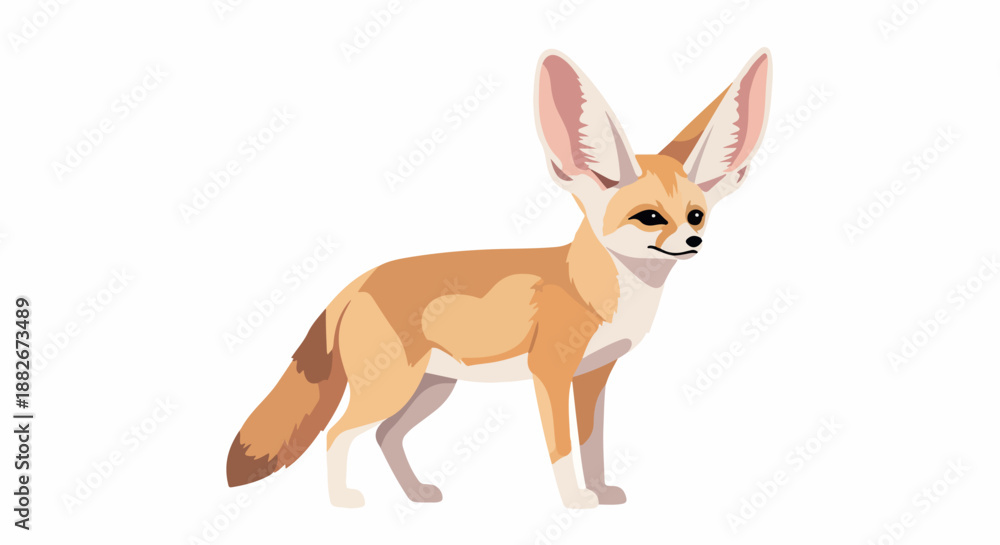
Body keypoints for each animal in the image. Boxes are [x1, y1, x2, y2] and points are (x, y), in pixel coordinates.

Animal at [227, 48, 773, 508]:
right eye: (650, 218)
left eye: (696, 215)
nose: (694, 242)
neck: (601, 294)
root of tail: (357, 280)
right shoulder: (550, 373)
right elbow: (561, 449)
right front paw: (574, 501)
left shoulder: (594, 377)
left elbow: (592, 445)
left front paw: (600, 492)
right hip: (391, 388)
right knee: (337, 434)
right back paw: (342, 501)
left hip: (430, 390)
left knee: (386, 436)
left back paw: (416, 494)